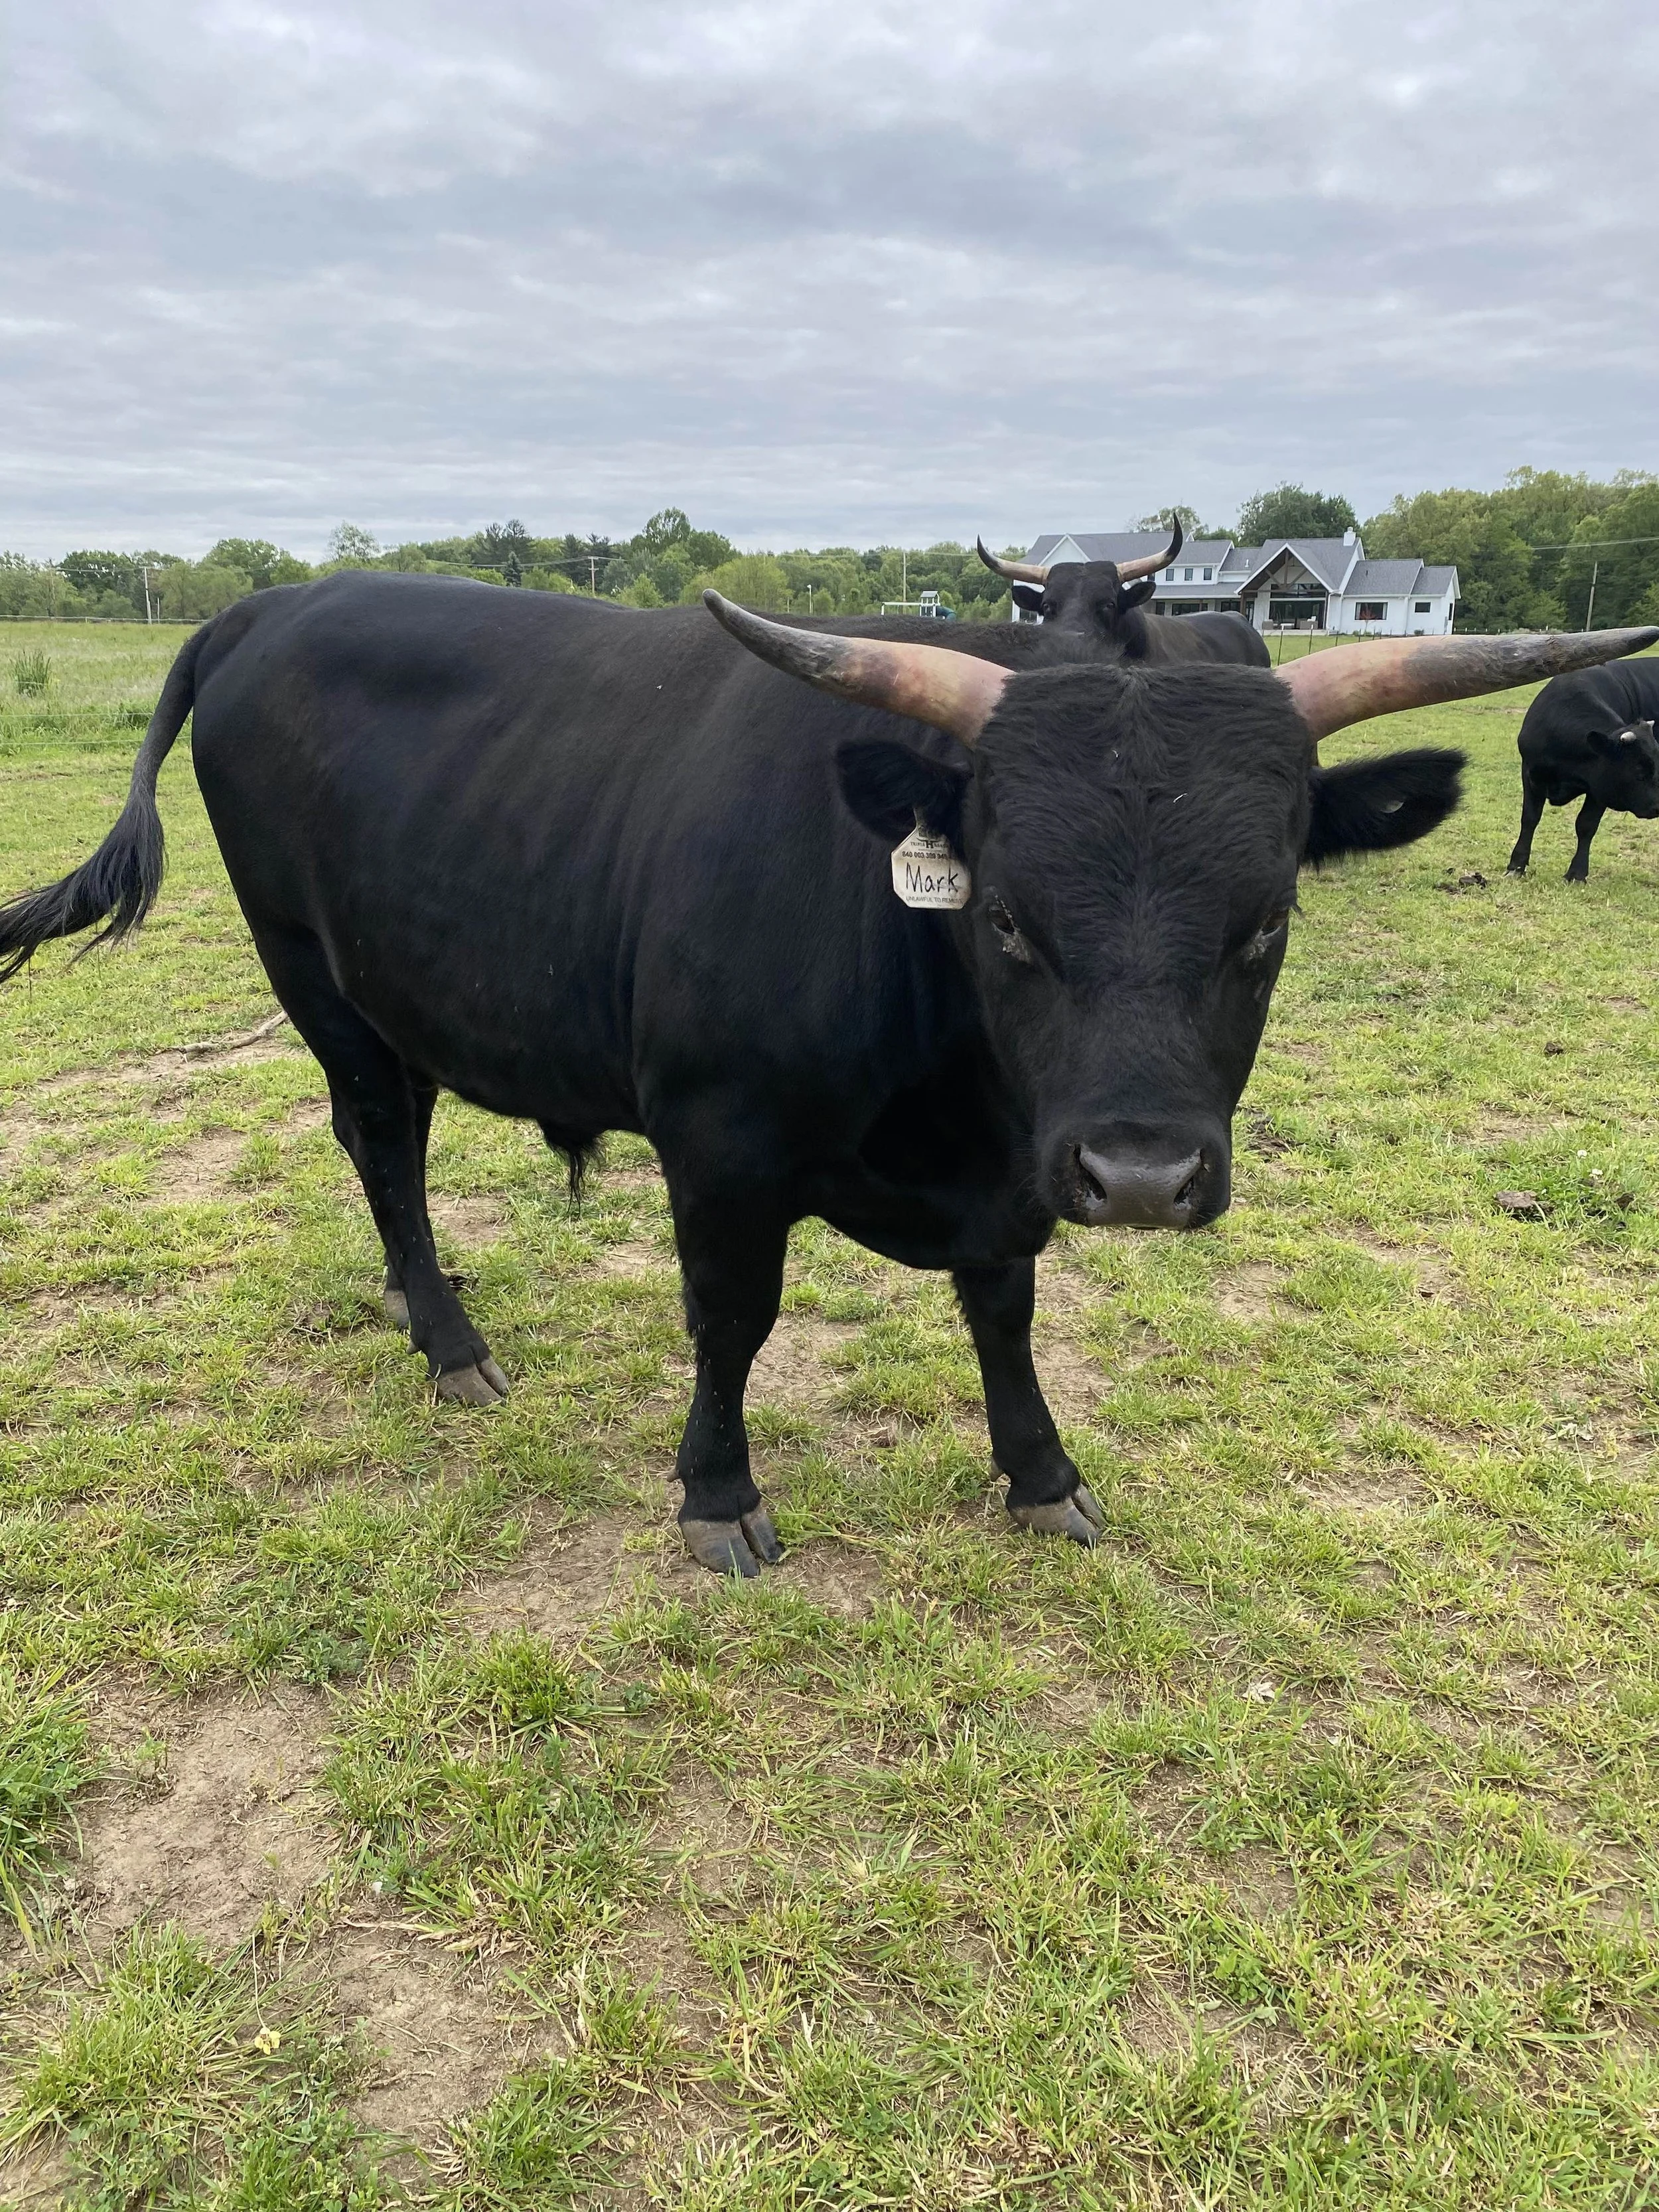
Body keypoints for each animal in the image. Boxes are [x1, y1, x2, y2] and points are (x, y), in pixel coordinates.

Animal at [1505, 658, 1659, 881]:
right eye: (1639, 773)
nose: (1658, 807)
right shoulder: (1530, 774)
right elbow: (1529, 818)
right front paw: (1516, 866)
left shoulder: (1599, 789)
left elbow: (1586, 825)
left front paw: (1577, 874)